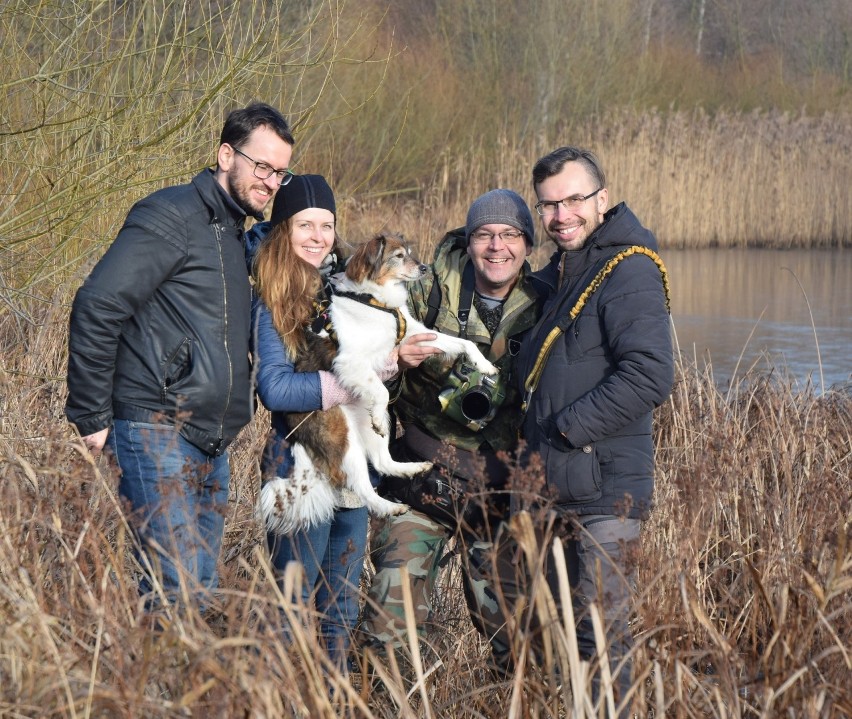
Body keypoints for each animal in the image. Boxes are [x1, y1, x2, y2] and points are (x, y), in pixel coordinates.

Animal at [262, 233, 500, 536]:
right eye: (399, 256)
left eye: (409, 252)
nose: (424, 268)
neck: (377, 302)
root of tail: (294, 431)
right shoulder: (351, 362)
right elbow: (382, 389)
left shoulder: (418, 335)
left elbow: (463, 342)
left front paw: (485, 365)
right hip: (344, 438)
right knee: (360, 485)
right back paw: (388, 507)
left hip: (373, 427)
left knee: (382, 461)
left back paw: (412, 469)